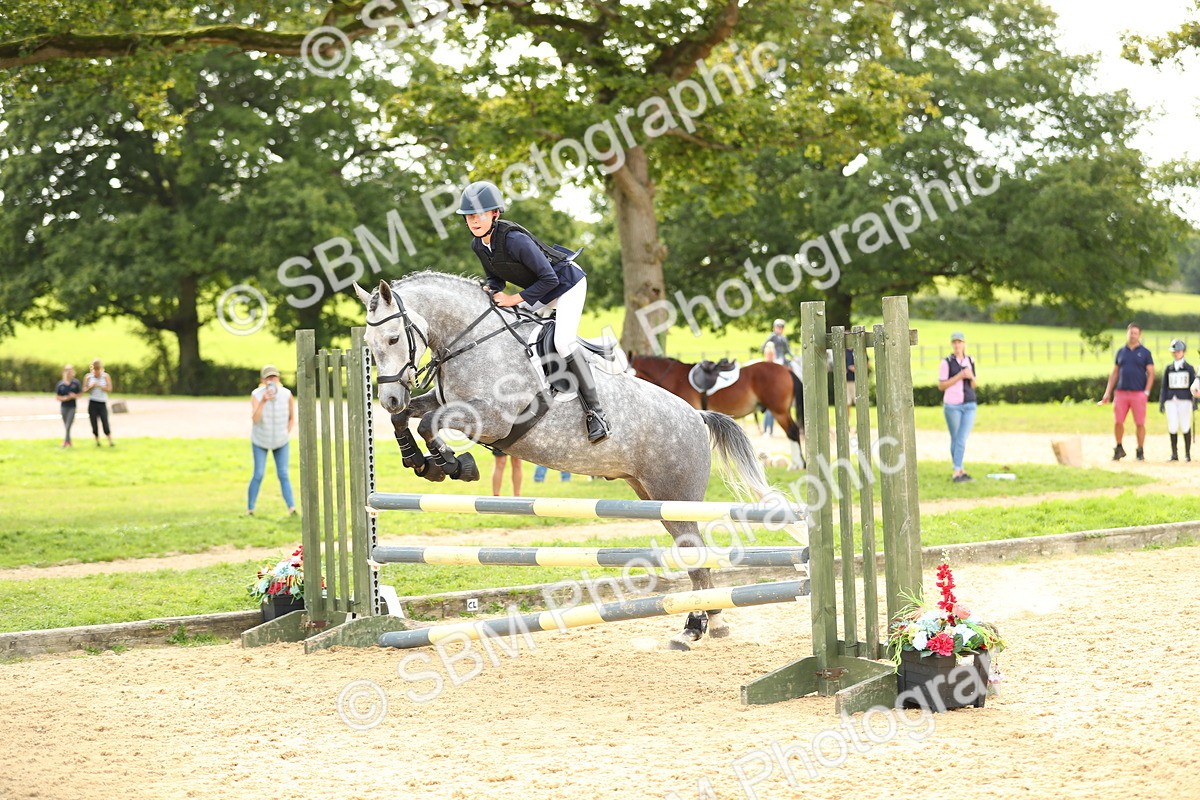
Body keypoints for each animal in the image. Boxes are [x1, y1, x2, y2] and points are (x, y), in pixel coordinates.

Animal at [354, 273, 776, 650]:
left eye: (394, 338)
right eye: (368, 343)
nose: (390, 398)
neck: (472, 342)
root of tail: (696, 416)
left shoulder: (492, 418)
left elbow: (429, 423)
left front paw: (455, 465)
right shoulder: (445, 403)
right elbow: (410, 419)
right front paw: (420, 461)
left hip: (676, 497)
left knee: (697, 557)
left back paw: (700, 626)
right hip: (653, 496)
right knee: (694, 559)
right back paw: (703, 624)